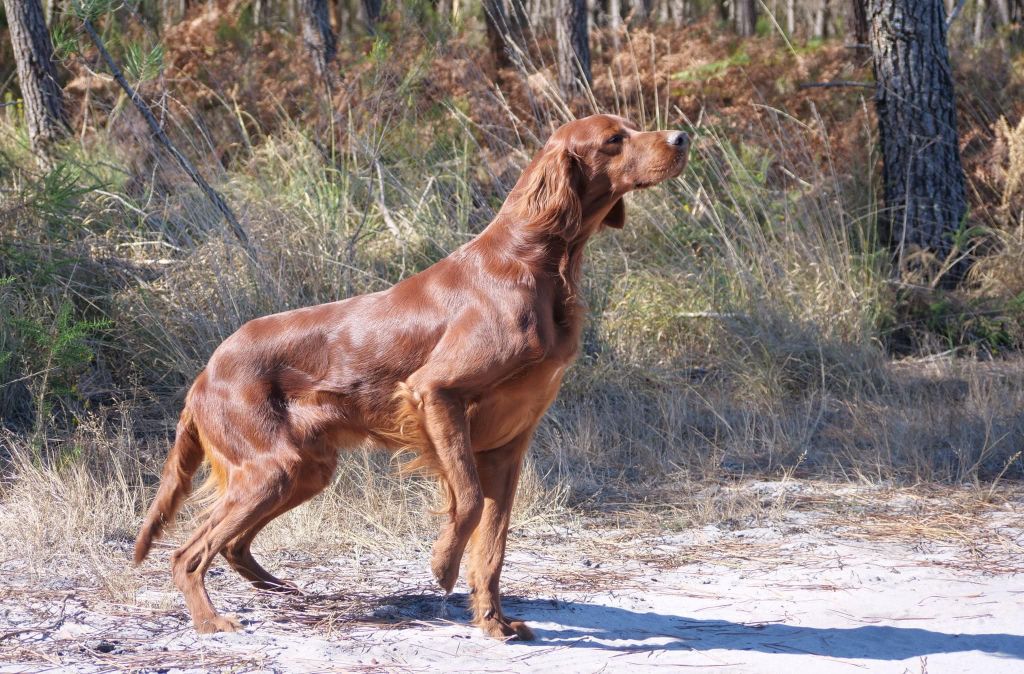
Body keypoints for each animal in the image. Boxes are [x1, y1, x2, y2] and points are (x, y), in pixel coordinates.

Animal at [134, 112, 688, 639]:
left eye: (632, 128)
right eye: (614, 139)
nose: (682, 137)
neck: (535, 261)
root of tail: (206, 373)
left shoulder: (508, 447)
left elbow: (493, 547)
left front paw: (493, 622)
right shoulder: (435, 394)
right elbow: (467, 501)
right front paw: (442, 565)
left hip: (305, 468)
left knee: (231, 544)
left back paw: (273, 588)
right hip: (273, 467)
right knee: (188, 553)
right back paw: (211, 621)